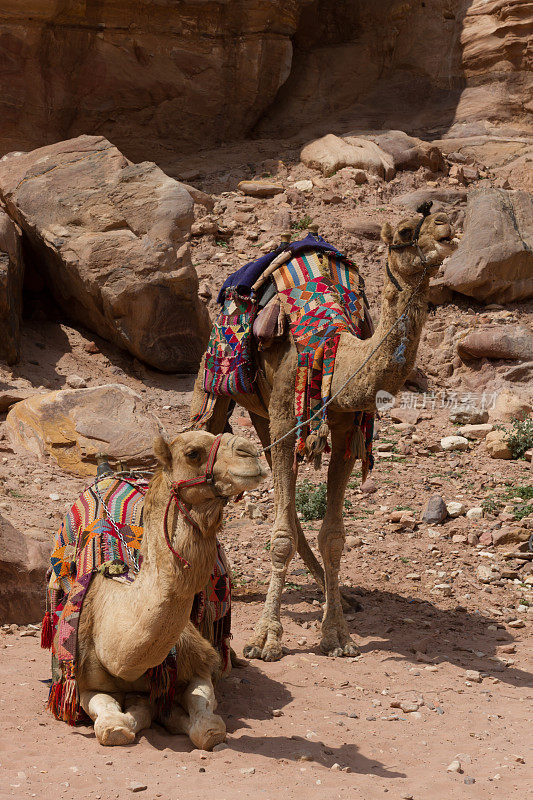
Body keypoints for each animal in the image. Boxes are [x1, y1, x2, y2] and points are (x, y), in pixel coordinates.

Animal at [71, 434, 266, 748]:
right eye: (193, 453)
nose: (250, 452)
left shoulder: (197, 661)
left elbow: (207, 725)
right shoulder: (85, 683)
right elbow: (111, 724)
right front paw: (133, 717)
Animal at [191, 209, 458, 660]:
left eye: (447, 220)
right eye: (407, 231)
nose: (446, 226)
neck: (333, 348)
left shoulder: (348, 428)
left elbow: (332, 535)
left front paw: (337, 634)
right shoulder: (286, 418)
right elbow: (280, 535)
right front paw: (265, 639)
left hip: (262, 414)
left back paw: (340, 597)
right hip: (216, 387)